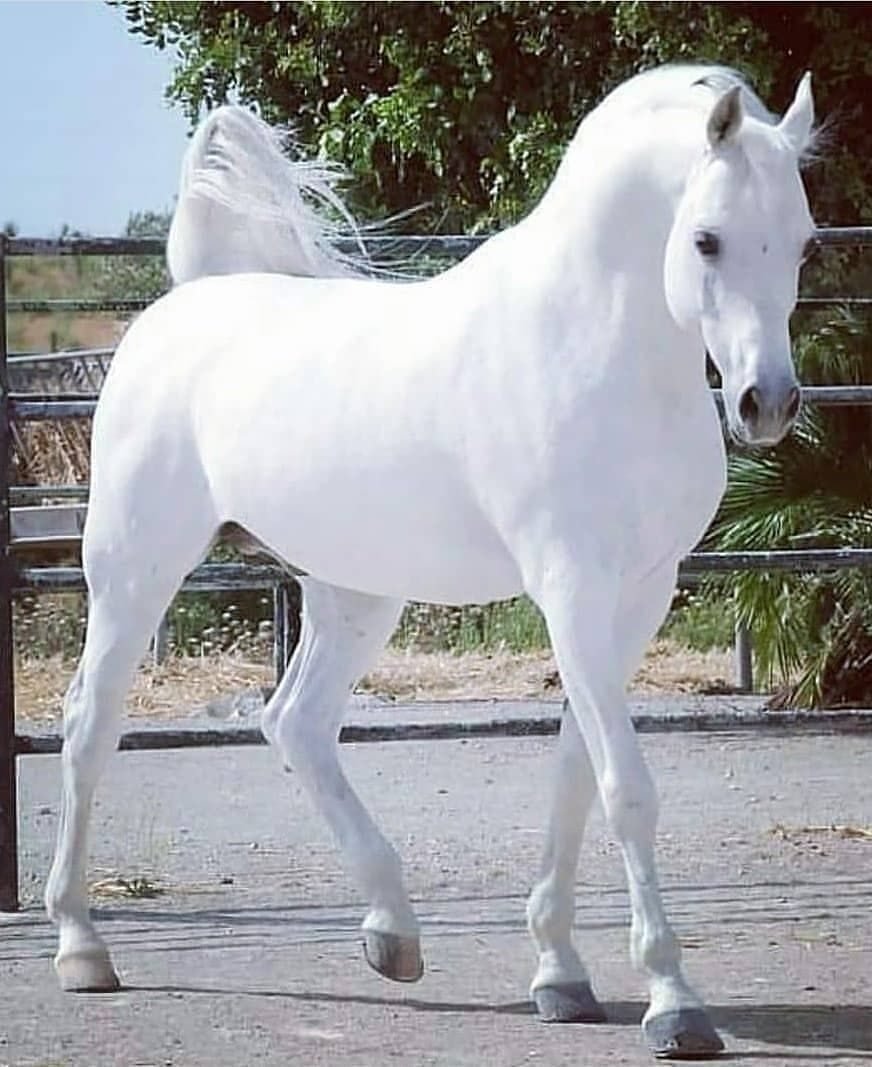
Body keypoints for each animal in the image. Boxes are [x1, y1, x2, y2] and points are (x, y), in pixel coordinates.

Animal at [44, 64, 815, 1059]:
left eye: (802, 241)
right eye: (706, 238)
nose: (768, 403)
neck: (594, 346)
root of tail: (187, 301)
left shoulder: (636, 598)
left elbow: (575, 773)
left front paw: (561, 975)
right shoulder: (572, 590)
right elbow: (624, 788)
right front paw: (674, 1001)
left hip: (354, 594)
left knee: (296, 722)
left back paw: (393, 933)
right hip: (136, 567)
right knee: (90, 723)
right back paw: (81, 946)